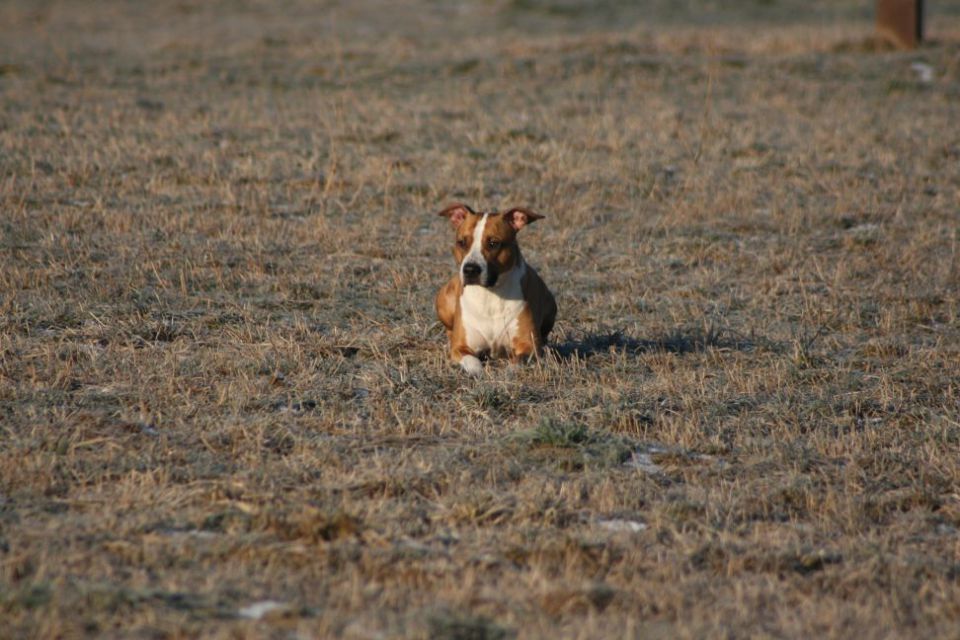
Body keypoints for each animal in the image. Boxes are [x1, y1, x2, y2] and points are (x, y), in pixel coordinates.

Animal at [436, 204, 556, 376]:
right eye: (462, 242)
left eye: (493, 243)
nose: (470, 269)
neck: (489, 294)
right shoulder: (460, 348)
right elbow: (471, 361)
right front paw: (477, 371)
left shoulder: (529, 345)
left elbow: (518, 361)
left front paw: (509, 370)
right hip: (445, 301)